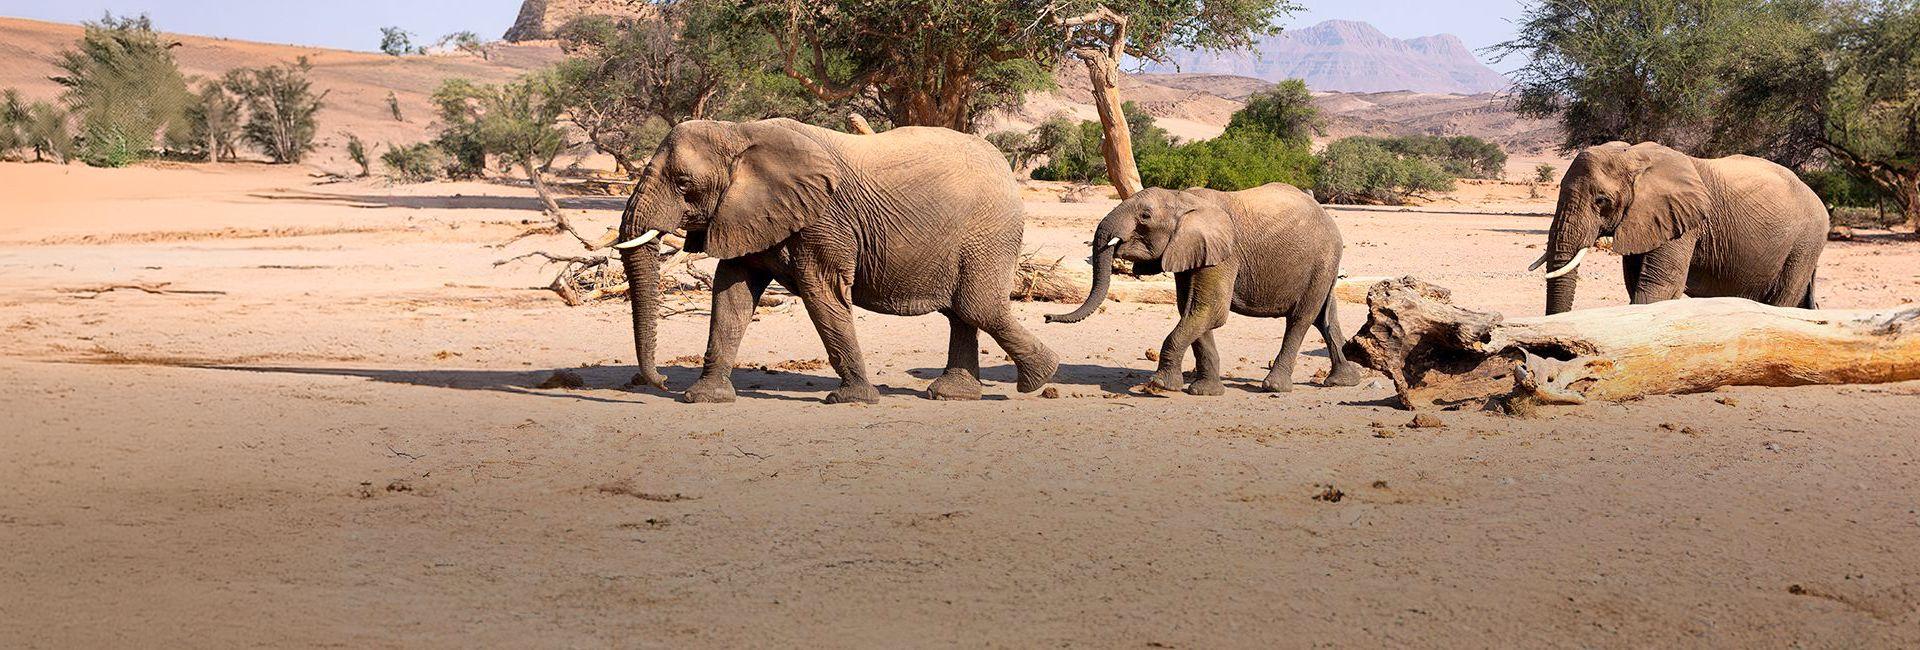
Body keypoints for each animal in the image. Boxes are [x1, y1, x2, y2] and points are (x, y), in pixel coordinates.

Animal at [614, 116, 1059, 402]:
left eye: (683, 184)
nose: (663, 381)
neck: (739, 131)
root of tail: (1006, 167)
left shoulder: (825, 219)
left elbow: (821, 291)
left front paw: (853, 399)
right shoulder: (747, 214)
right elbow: (732, 294)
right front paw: (704, 398)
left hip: (988, 233)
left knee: (976, 306)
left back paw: (1040, 378)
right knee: (961, 312)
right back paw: (954, 395)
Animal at [1052, 185, 1367, 396]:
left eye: (1145, 216)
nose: (1047, 317)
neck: (1183, 198)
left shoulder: (1224, 253)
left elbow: (1210, 311)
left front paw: (1160, 385)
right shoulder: (1190, 251)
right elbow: (1191, 310)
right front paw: (1205, 391)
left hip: (1323, 259)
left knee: (1301, 318)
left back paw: (1274, 387)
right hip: (1324, 265)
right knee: (1325, 316)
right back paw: (1344, 381)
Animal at [1528, 142, 1827, 316]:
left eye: (1602, 201)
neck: (1634, 155)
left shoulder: (1682, 221)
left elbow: (1659, 287)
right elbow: (1635, 283)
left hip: (1804, 244)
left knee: (1783, 301)